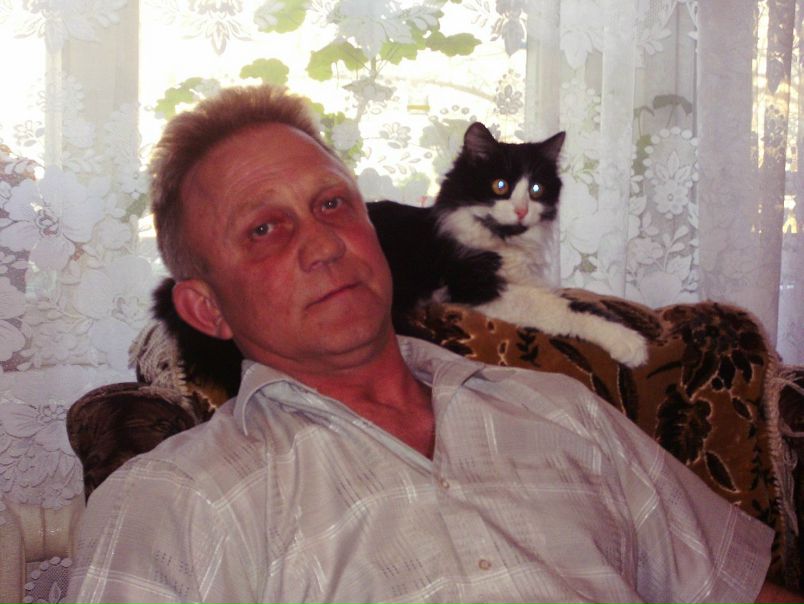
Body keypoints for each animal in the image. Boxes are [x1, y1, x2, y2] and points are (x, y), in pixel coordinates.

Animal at [366, 121, 648, 367]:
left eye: (536, 189)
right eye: (500, 186)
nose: (522, 211)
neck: (502, 239)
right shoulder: (474, 285)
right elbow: (557, 305)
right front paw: (628, 340)